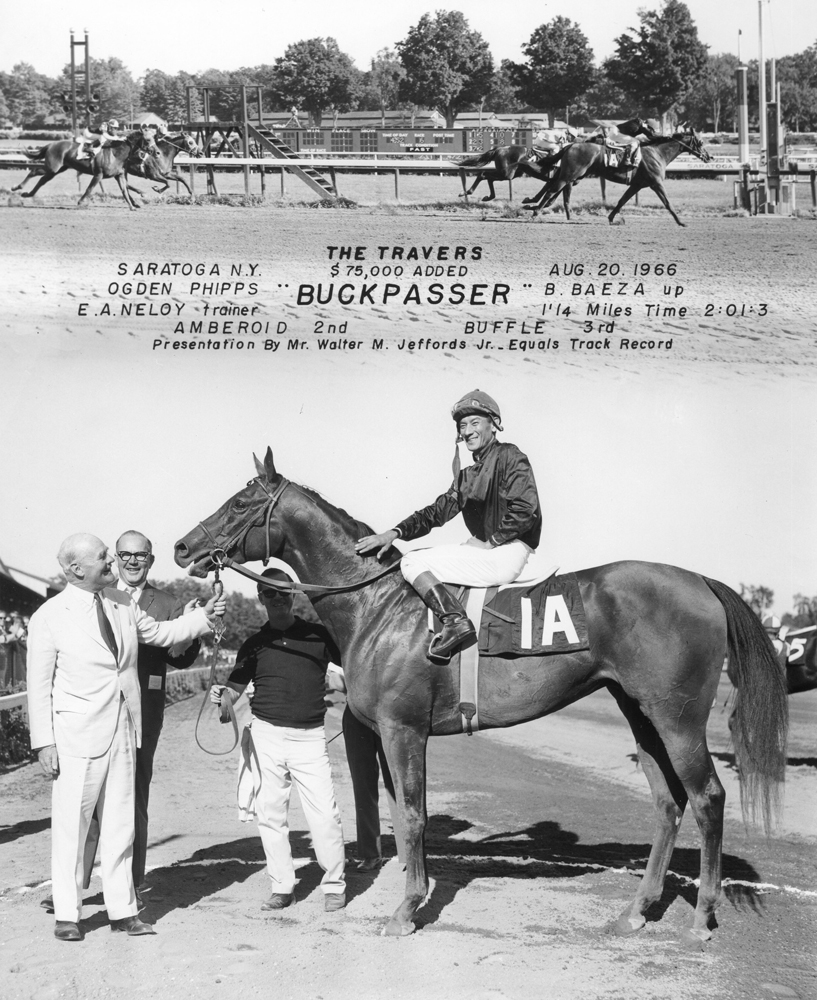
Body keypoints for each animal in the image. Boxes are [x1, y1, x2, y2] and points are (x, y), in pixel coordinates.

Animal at [175, 450, 788, 940]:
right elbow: (402, 813)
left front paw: (406, 910)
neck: (378, 606)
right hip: (639, 712)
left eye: (240, 503)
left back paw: (701, 918)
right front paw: (412, 893)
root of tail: (701, 581)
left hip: (677, 717)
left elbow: (414, 816)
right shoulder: (389, 733)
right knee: (668, 803)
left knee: (708, 797)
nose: (182, 547)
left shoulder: (403, 729)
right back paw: (635, 912)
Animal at [528, 128, 708, 226]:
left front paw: (612, 218)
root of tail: (571, 145)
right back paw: (535, 212)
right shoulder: (656, 183)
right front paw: (681, 221)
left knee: (555, 188)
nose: (708, 157)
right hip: (570, 175)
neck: (657, 153)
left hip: (572, 175)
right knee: (552, 191)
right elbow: (668, 203)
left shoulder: (636, 185)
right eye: (700, 142)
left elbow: (622, 200)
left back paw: (534, 204)